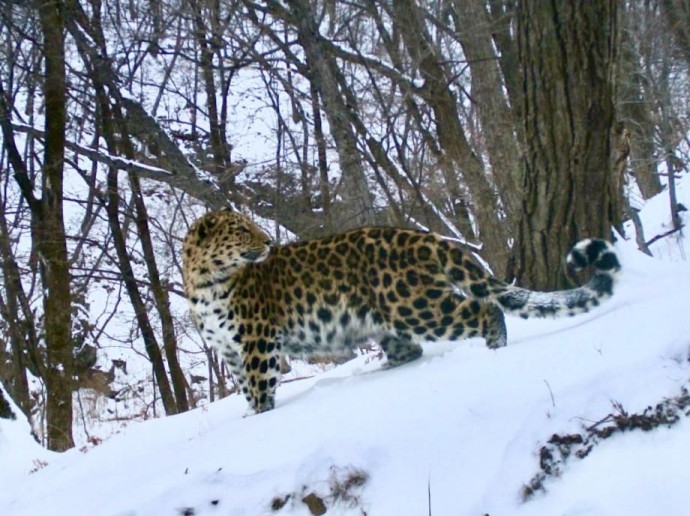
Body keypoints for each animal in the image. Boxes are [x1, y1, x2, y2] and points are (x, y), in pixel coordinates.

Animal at [181, 208, 620, 414]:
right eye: (241, 230)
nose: (269, 241)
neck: (202, 283)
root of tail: (427, 237)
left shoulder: (257, 339)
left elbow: (259, 385)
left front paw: (260, 416)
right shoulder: (230, 351)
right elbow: (245, 388)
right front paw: (250, 416)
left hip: (414, 306)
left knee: (483, 310)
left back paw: (495, 348)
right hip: (387, 319)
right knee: (411, 349)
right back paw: (380, 371)